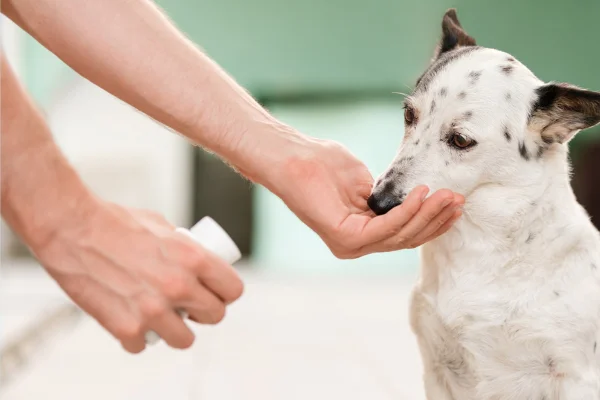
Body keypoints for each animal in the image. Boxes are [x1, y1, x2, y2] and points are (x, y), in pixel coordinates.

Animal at [368, 9, 600, 400]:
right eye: (409, 115)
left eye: (461, 140)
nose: (377, 203)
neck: (478, 250)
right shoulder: (437, 371)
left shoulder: (576, 379)